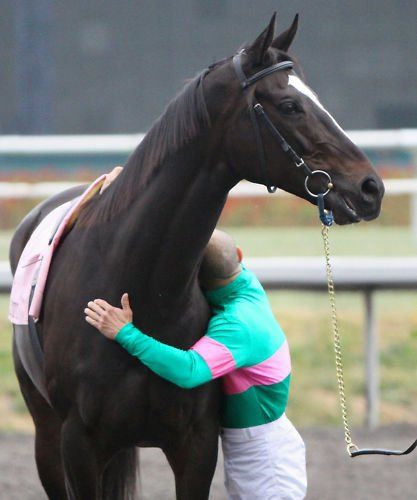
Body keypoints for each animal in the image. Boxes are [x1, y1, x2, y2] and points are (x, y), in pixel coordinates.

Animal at [9, 14, 382, 500]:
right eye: (289, 105)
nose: (371, 188)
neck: (139, 287)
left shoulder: (197, 444)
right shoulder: (78, 444)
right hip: (47, 438)